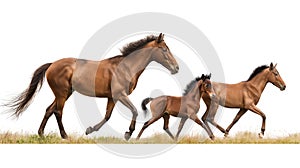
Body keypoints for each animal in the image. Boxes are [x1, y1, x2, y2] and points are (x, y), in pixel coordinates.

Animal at [5, 33, 178, 140]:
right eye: (164, 50)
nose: (176, 68)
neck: (126, 67)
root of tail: (52, 64)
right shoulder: (120, 95)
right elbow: (135, 110)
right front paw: (128, 133)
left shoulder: (112, 97)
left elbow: (107, 116)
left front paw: (90, 130)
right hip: (62, 94)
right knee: (58, 112)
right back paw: (64, 135)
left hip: (65, 93)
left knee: (49, 110)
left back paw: (41, 134)